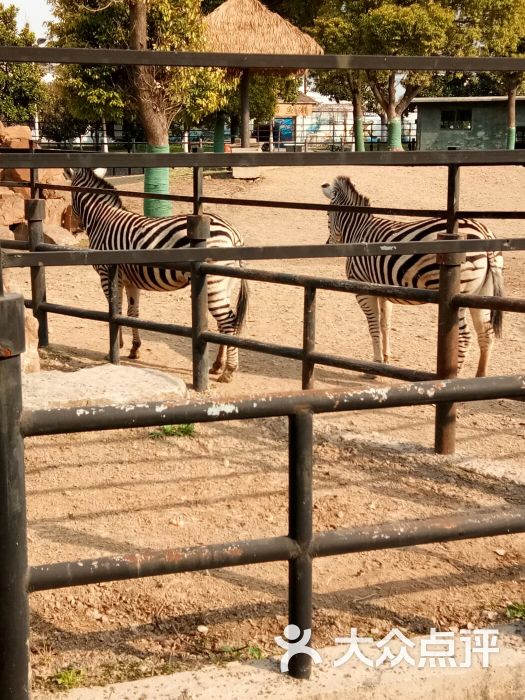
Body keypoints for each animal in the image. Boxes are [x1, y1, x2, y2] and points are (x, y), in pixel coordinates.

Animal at [64, 166, 249, 382]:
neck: (102, 219)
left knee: (228, 321)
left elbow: (115, 311)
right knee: (223, 323)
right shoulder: (130, 280)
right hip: (225, 282)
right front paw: (134, 349)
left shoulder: (107, 274)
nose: (74, 229)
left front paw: (115, 349)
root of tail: (232, 232)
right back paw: (217, 365)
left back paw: (229, 371)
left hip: (213, 282)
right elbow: (132, 313)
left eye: (70, 197)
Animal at [320, 175, 504, 378]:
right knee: (486, 333)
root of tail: (484, 232)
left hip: (459, 294)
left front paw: (374, 367)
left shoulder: (362, 288)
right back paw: (480, 378)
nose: (327, 245)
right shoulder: (382, 289)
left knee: (464, 338)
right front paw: (386, 360)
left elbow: (373, 325)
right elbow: (385, 324)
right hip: (481, 292)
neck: (358, 231)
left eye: (327, 215)